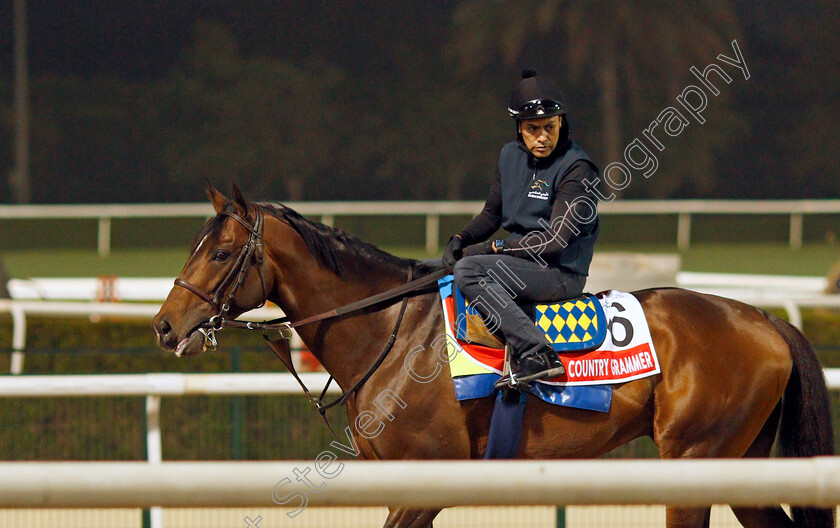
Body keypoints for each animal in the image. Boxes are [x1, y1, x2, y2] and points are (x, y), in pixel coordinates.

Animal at [156, 184, 832, 524]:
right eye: (192, 245)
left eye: (220, 253)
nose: (164, 326)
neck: (391, 332)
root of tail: (766, 320)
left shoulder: (424, 483)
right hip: (736, 463)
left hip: (695, 459)